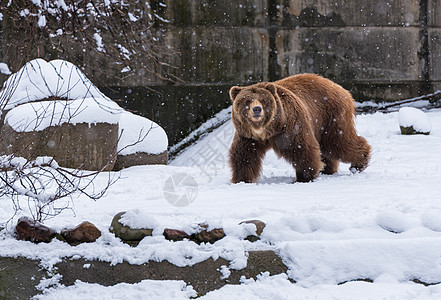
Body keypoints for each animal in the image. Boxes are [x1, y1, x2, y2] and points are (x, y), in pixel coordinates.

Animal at [229, 74, 370, 184]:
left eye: (263, 100)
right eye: (247, 100)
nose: (257, 109)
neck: (267, 130)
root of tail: (341, 88)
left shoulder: (291, 126)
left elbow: (302, 148)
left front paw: (304, 177)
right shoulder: (248, 135)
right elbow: (244, 155)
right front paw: (241, 179)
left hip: (331, 117)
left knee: (339, 142)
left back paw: (358, 164)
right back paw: (327, 169)